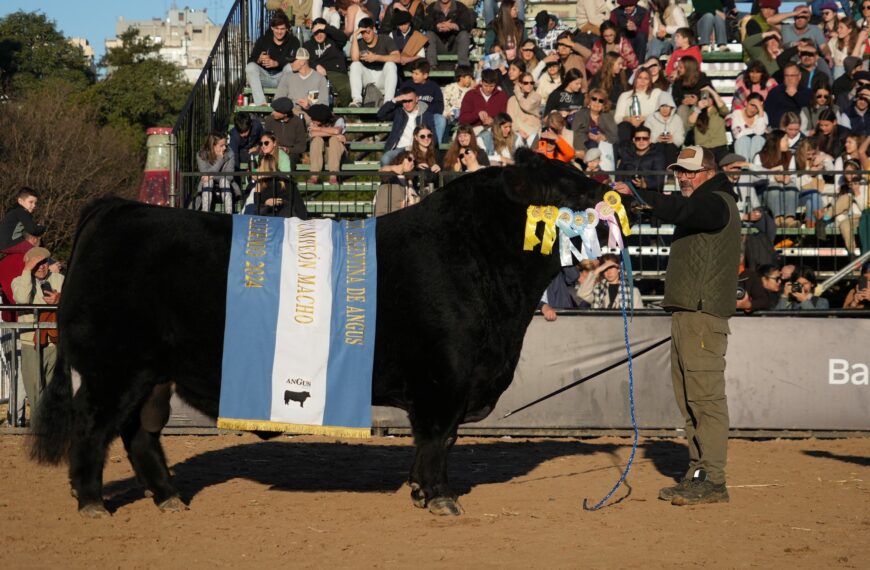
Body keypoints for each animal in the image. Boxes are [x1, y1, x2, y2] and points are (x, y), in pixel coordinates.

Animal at [27, 150, 608, 516]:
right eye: (568, 186)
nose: (611, 189)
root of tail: (118, 207)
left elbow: (432, 443)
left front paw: (419, 491)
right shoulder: (442, 381)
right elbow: (438, 441)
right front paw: (440, 497)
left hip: (152, 376)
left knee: (140, 434)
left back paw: (169, 497)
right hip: (113, 368)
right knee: (92, 428)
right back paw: (92, 502)